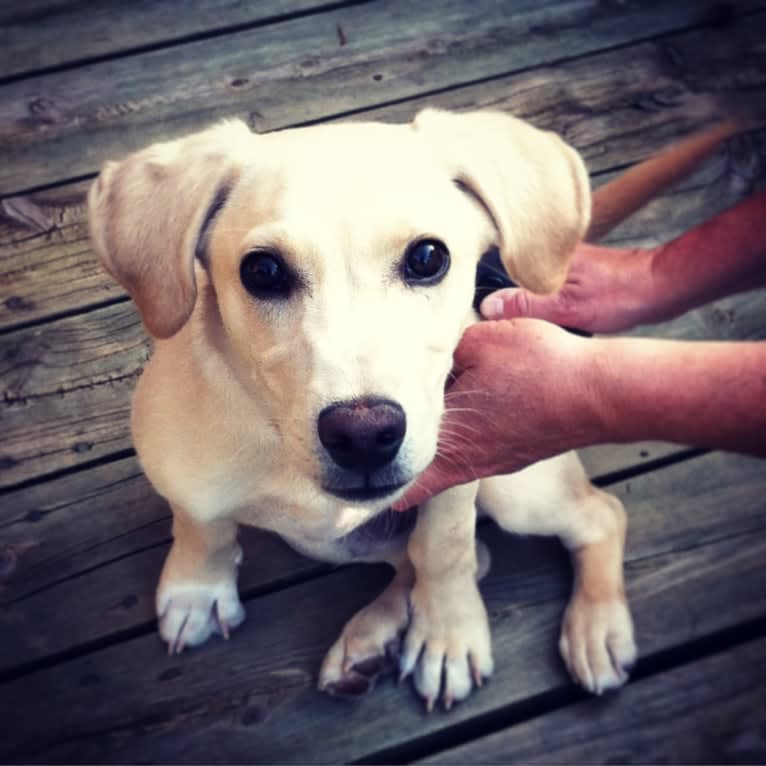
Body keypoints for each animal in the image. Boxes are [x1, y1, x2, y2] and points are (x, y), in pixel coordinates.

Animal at [87, 109, 740, 712]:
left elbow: (445, 549)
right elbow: (200, 523)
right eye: (263, 271)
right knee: (465, 556)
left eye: (428, 258)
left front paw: (448, 635)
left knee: (597, 516)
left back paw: (595, 628)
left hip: (519, 490)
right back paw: (369, 640)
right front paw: (197, 589)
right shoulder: (181, 470)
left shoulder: (458, 473)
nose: (364, 435)